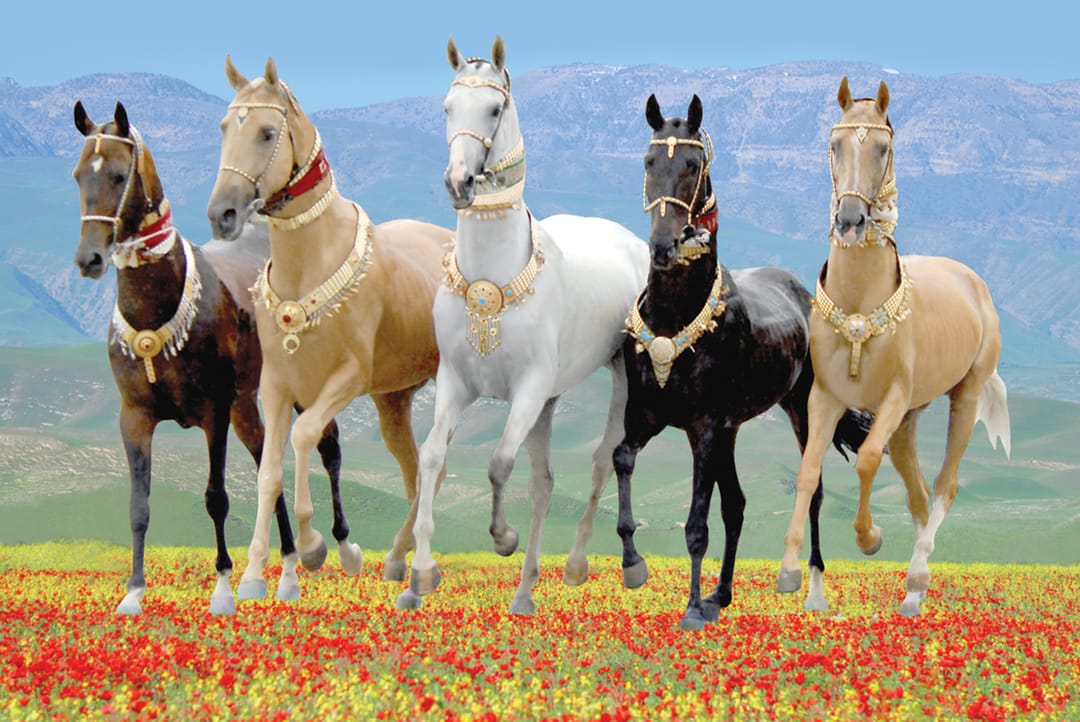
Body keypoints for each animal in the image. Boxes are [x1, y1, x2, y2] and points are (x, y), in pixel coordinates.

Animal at [71, 101, 347, 614]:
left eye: (118, 175)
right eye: (79, 174)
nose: (89, 259)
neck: (157, 313)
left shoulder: (213, 413)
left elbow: (216, 497)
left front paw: (222, 590)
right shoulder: (134, 417)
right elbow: (139, 506)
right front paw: (133, 592)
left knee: (329, 447)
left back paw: (337, 546)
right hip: (247, 405)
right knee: (267, 466)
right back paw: (284, 575)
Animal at [206, 57, 454, 600]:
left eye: (267, 132)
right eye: (223, 127)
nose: (222, 214)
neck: (309, 265)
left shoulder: (346, 378)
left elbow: (303, 438)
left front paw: (316, 547)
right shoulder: (277, 384)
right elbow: (268, 471)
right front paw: (255, 576)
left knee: (434, 466)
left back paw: (419, 568)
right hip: (393, 399)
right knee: (414, 472)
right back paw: (399, 559)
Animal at [399, 36, 649, 615]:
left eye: (494, 109)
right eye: (447, 108)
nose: (459, 182)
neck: (490, 279)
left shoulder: (528, 390)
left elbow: (497, 463)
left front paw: (503, 538)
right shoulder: (456, 383)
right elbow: (433, 459)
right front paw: (420, 574)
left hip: (620, 376)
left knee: (604, 460)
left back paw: (585, 565)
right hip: (551, 402)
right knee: (544, 482)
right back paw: (525, 590)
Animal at [612, 95, 871, 631]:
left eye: (693, 166)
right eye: (648, 161)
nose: (664, 246)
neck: (674, 314)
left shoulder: (703, 428)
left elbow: (696, 522)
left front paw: (690, 609)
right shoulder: (647, 414)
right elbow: (621, 458)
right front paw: (633, 564)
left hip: (800, 410)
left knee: (811, 489)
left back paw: (806, 585)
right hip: (732, 431)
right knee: (736, 505)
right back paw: (721, 594)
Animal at [776, 78, 1011, 616]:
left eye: (883, 148)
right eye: (835, 144)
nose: (851, 220)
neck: (859, 305)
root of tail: (974, 283)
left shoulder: (891, 398)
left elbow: (865, 460)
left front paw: (869, 539)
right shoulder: (825, 397)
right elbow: (808, 472)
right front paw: (790, 571)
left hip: (963, 397)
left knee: (945, 485)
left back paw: (917, 579)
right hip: (908, 421)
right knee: (919, 494)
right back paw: (912, 588)